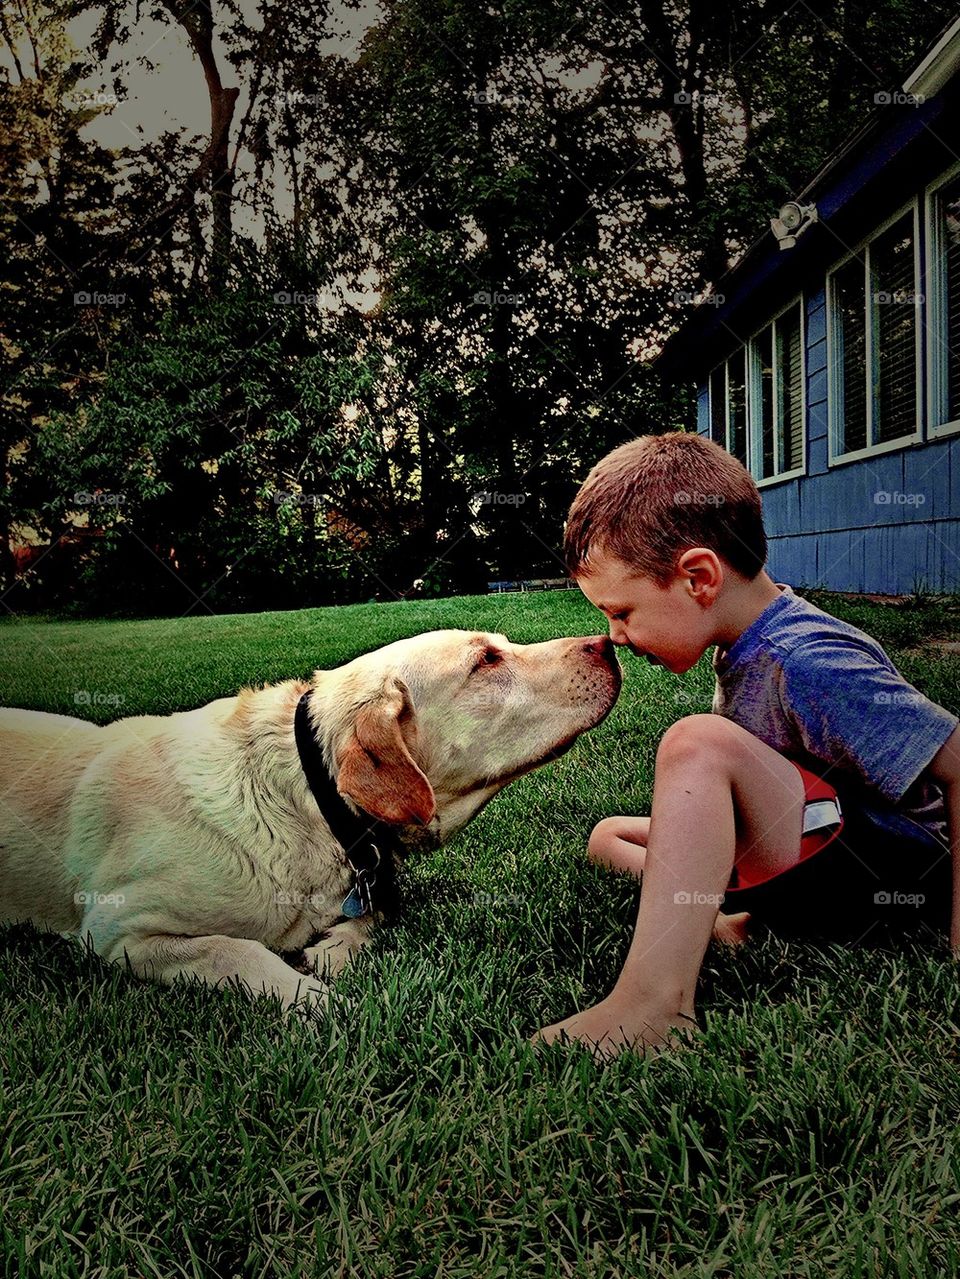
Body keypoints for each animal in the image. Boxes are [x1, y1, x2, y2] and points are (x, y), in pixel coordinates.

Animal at [0, 629, 618, 1007]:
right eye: (486, 661)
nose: (607, 644)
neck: (307, 798)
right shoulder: (119, 930)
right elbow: (234, 948)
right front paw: (319, 1003)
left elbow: (372, 916)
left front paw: (332, 950)